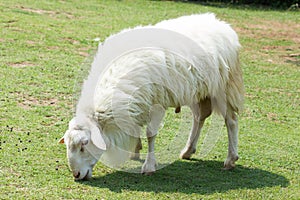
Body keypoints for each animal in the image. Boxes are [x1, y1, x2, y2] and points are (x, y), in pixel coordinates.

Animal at [58, 13, 244, 180]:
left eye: (84, 145)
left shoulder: (156, 103)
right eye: (67, 144)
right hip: (194, 91)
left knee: (231, 121)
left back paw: (230, 159)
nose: (76, 175)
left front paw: (148, 166)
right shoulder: (137, 101)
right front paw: (135, 150)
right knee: (199, 117)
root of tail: (222, 24)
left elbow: (150, 134)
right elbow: (135, 127)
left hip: (223, 88)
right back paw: (188, 151)